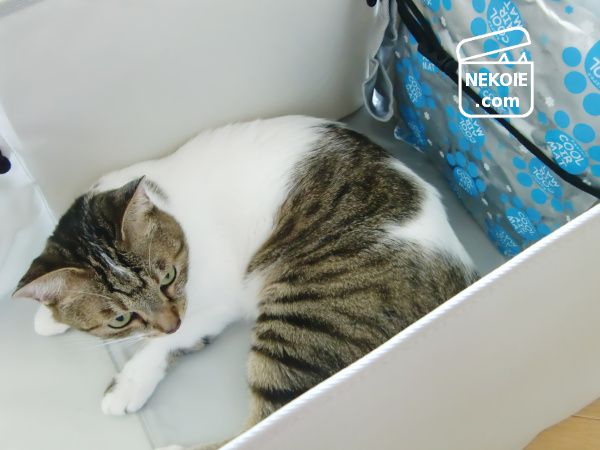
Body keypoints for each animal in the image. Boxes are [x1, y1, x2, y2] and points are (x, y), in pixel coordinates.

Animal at [13, 116, 477, 450]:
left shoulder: (214, 303)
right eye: (119, 319)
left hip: (305, 314)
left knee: (267, 425)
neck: (172, 212)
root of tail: (463, 279)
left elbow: (160, 345)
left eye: (167, 277)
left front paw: (127, 382)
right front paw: (47, 317)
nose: (170, 323)